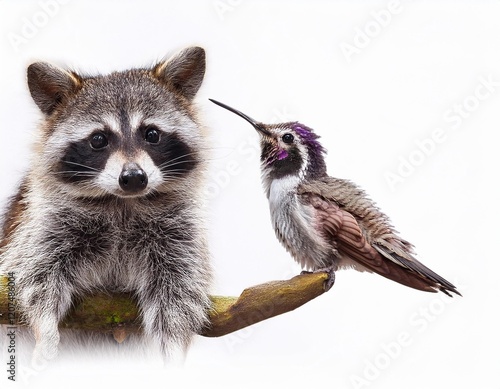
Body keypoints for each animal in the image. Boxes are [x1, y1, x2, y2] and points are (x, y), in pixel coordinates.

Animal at [0, 47, 213, 362]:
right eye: (99, 139)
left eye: (151, 134)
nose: (134, 178)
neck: (123, 202)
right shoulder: (44, 225)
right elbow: (35, 275)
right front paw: (45, 327)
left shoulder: (178, 235)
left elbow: (178, 291)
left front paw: (174, 348)